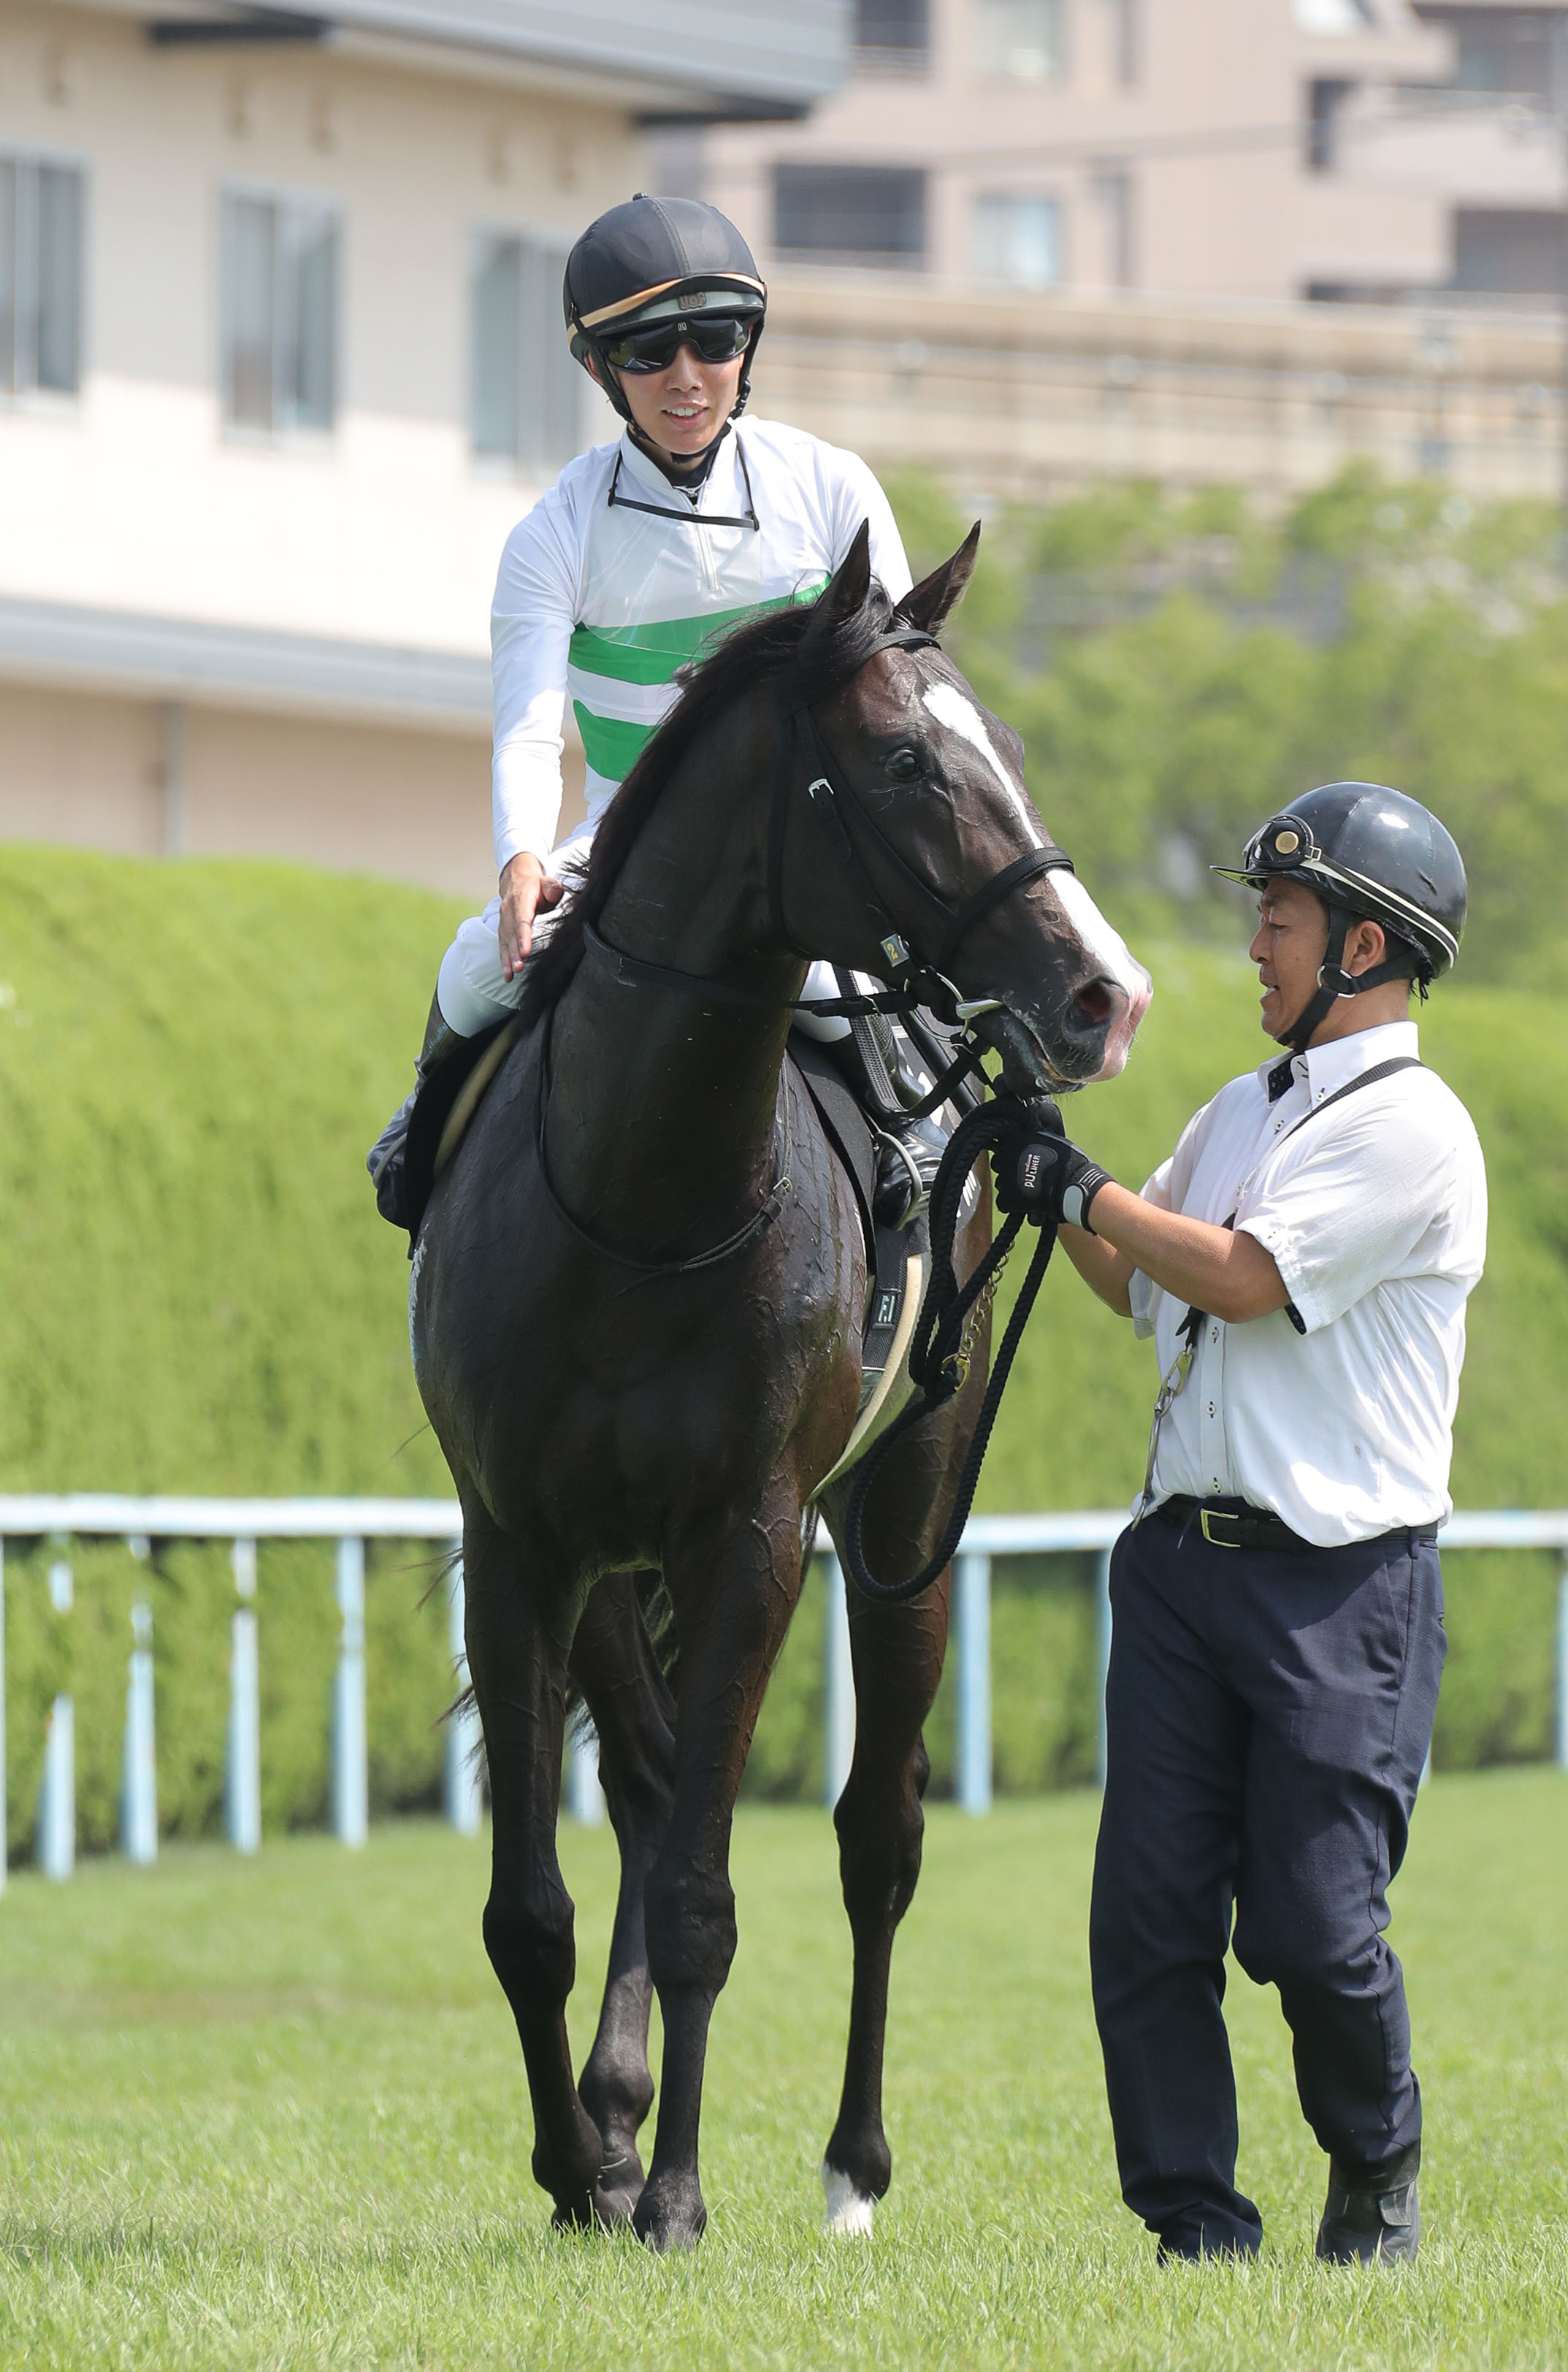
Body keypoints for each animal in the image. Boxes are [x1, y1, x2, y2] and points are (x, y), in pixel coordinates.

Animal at [411, 521, 1149, 2252]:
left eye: (1011, 751)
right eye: (905, 763)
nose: (1102, 994)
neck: (634, 1200)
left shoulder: (753, 1535)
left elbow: (704, 1891)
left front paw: (676, 2189)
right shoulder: (519, 1540)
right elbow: (533, 1904)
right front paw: (581, 2163)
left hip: (903, 1524)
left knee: (876, 1835)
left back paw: (846, 2164)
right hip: (614, 1569)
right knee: (648, 1786)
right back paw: (615, 2118)